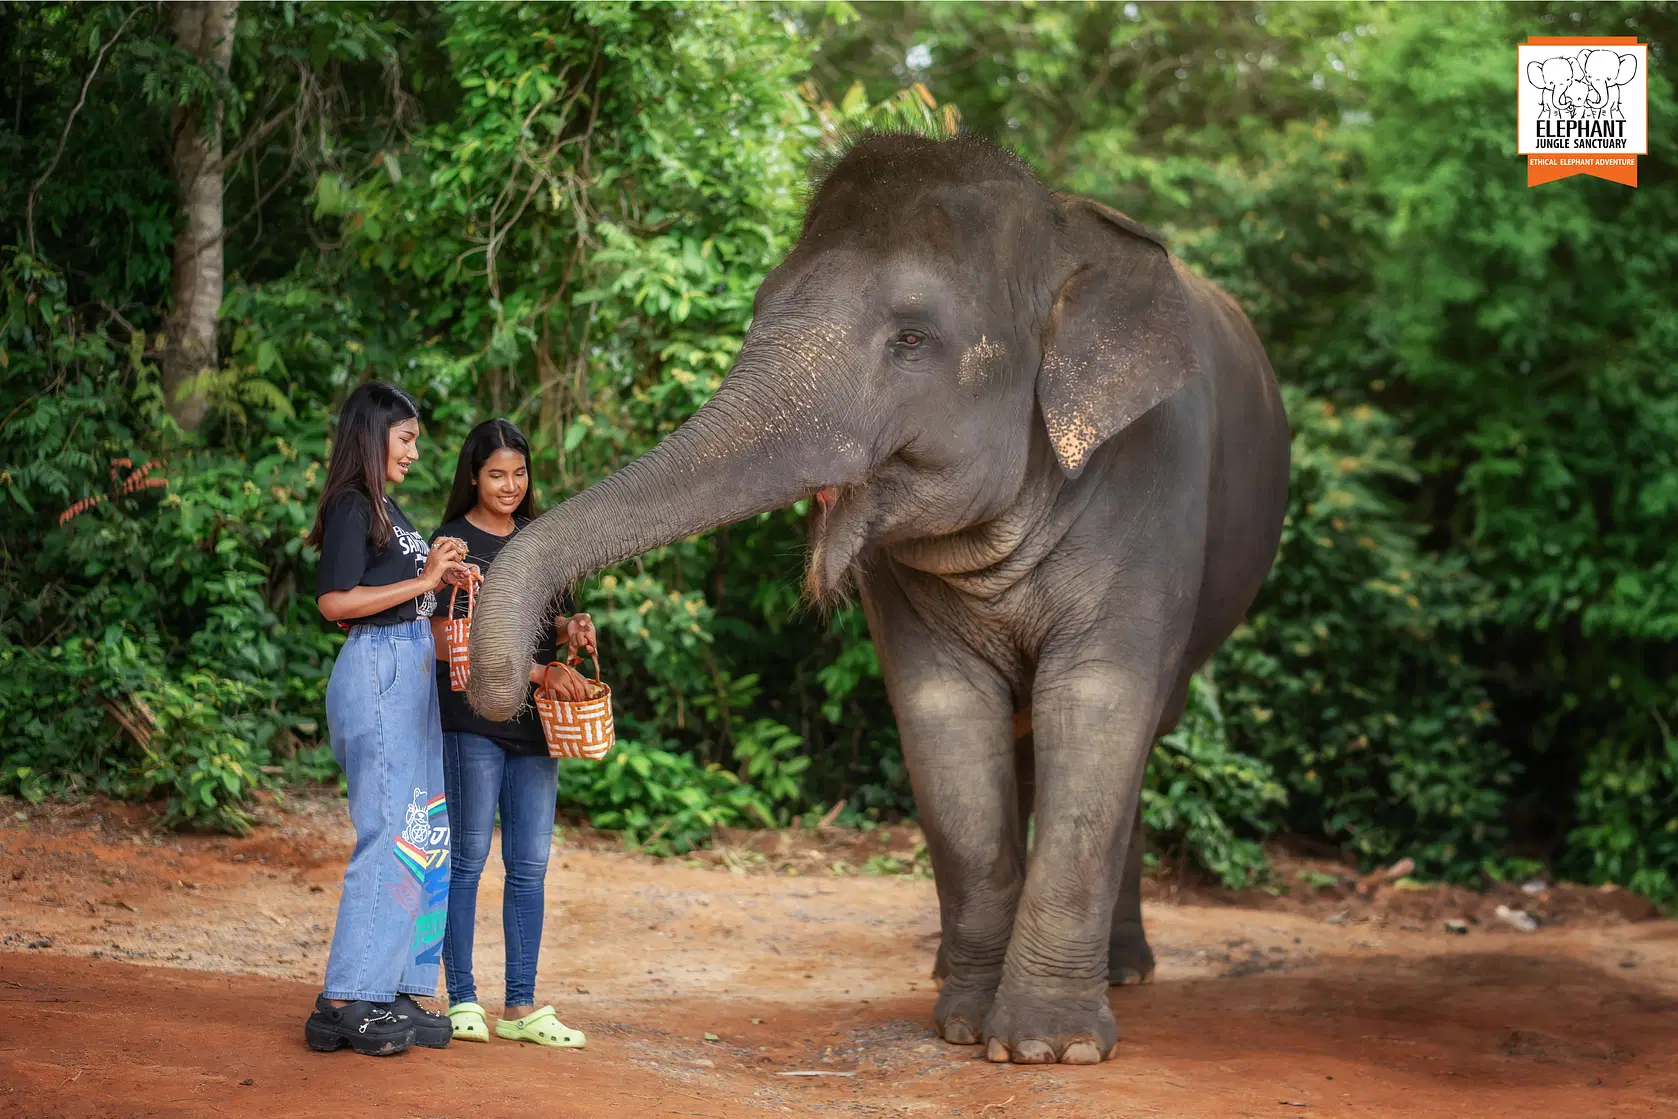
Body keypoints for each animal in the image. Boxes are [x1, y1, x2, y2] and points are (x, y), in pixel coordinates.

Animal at [467, 132, 1290, 1065]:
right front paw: (964, 1024)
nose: (507, 683)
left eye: (912, 337)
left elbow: (1101, 708)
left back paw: (1126, 974)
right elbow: (943, 720)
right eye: (759, 307)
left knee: (1137, 732)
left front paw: (1048, 1048)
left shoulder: (1154, 488)